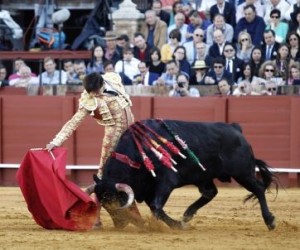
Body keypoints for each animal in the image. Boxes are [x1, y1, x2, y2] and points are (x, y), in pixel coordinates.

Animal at [91, 119, 276, 230]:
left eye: (115, 201)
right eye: (104, 205)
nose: (119, 224)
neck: (136, 155)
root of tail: (235, 128)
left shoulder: (166, 182)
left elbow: (156, 207)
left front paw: (176, 225)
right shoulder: (149, 188)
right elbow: (155, 207)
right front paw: (176, 223)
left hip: (243, 173)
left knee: (259, 189)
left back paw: (270, 221)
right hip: (204, 176)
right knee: (210, 192)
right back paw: (187, 214)